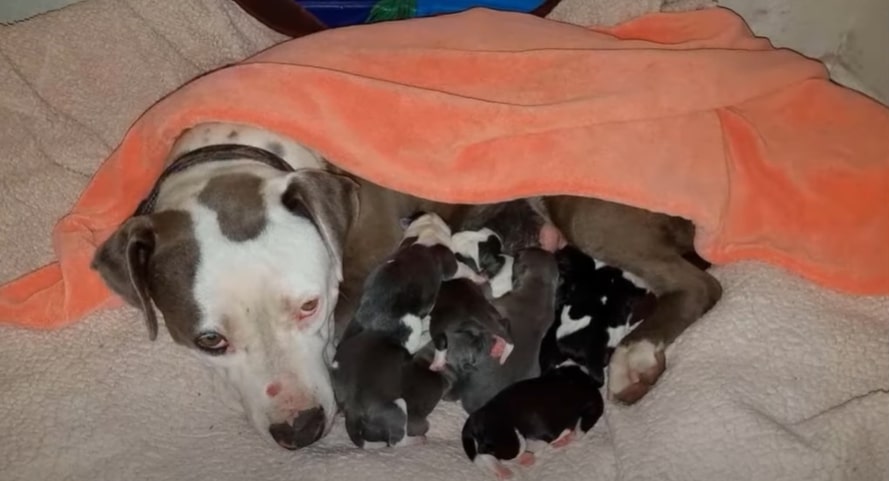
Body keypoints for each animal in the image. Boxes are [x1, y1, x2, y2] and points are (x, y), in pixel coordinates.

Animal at [458, 362, 604, 478]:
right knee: (488, 454)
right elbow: (580, 430)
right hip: (514, 442)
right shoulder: (593, 406)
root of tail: (474, 418)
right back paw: (506, 469)